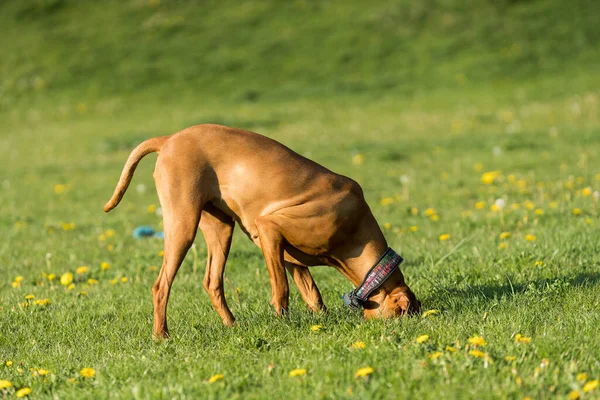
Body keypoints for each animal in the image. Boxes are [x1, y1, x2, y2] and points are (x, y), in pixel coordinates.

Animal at [103, 124, 420, 338]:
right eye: (402, 315)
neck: (355, 226)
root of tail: (169, 139)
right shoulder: (269, 229)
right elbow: (281, 290)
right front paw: (283, 324)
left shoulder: (290, 257)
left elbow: (313, 293)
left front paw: (320, 320)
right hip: (182, 225)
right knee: (161, 285)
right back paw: (161, 335)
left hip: (220, 228)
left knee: (212, 282)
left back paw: (232, 325)